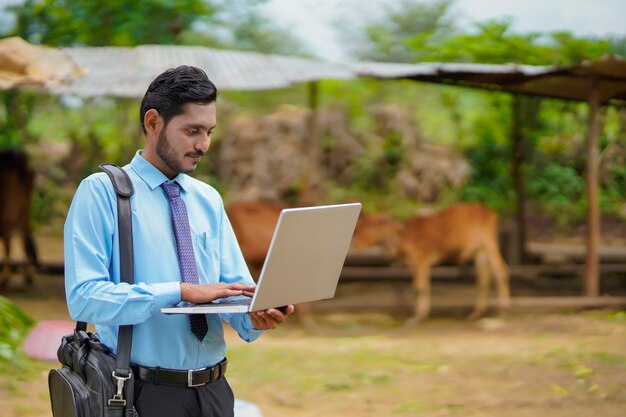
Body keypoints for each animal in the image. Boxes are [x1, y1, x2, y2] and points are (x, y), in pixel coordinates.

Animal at [352, 203, 508, 324]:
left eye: (369, 225)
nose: (356, 244)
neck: (402, 237)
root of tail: (489, 212)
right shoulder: (423, 265)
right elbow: (425, 287)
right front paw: (423, 313)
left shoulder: (420, 262)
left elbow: (419, 288)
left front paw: (417, 316)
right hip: (479, 252)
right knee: (484, 279)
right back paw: (477, 312)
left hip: (489, 245)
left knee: (501, 272)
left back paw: (502, 310)